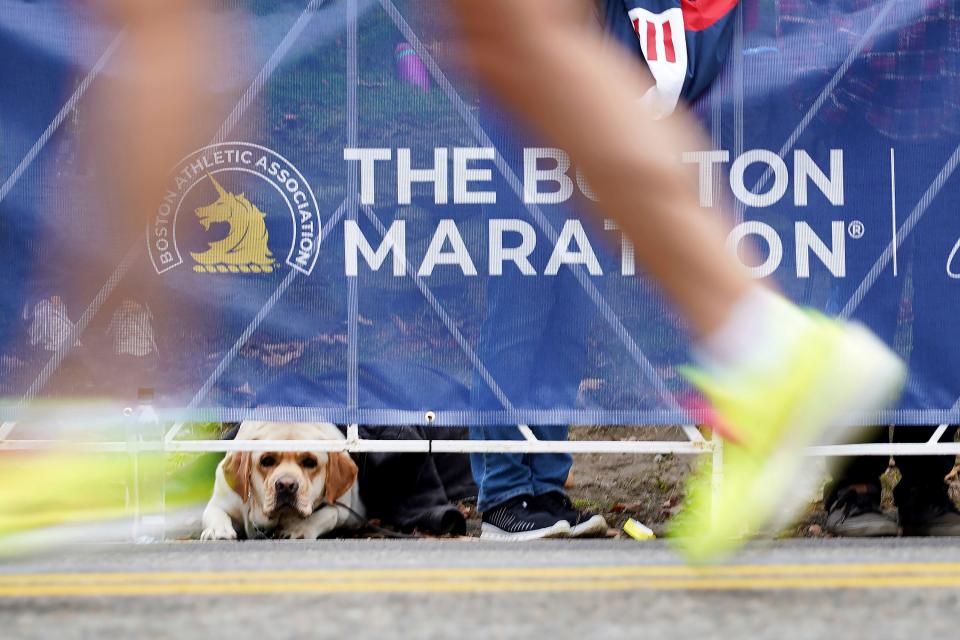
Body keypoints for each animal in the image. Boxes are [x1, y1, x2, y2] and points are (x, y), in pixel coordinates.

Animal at [200, 424, 364, 540]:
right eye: (266, 460)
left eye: (310, 462)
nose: (286, 485)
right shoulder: (222, 501)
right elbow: (216, 513)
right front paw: (217, 530)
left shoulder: (344, 509)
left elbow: (328, 514)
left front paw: (298, 529)